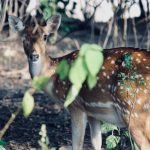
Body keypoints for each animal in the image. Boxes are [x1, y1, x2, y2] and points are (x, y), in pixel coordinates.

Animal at [8, 14, 150, 150]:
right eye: (24, 38)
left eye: (45, 36)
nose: (34, 55)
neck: (53, 77)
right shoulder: (93, 112)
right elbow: (96, 143)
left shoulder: (76, 105)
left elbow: (76, 145)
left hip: (134, 110)